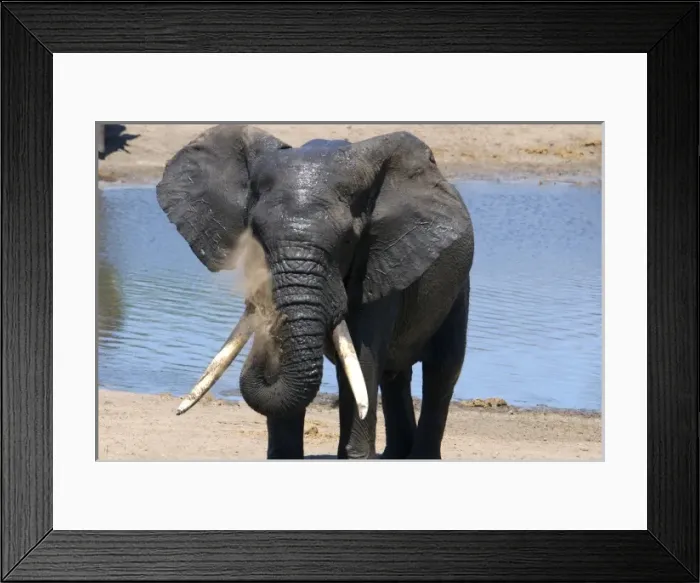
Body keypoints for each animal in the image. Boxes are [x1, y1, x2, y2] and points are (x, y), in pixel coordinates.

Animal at [155, 124, 474, 460]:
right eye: (255, 236)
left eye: (348, 239)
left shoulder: (379, 261)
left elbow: (363, 357)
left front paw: (356, 458)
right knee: (395, 375)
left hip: (458, 285)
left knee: (442, 368)